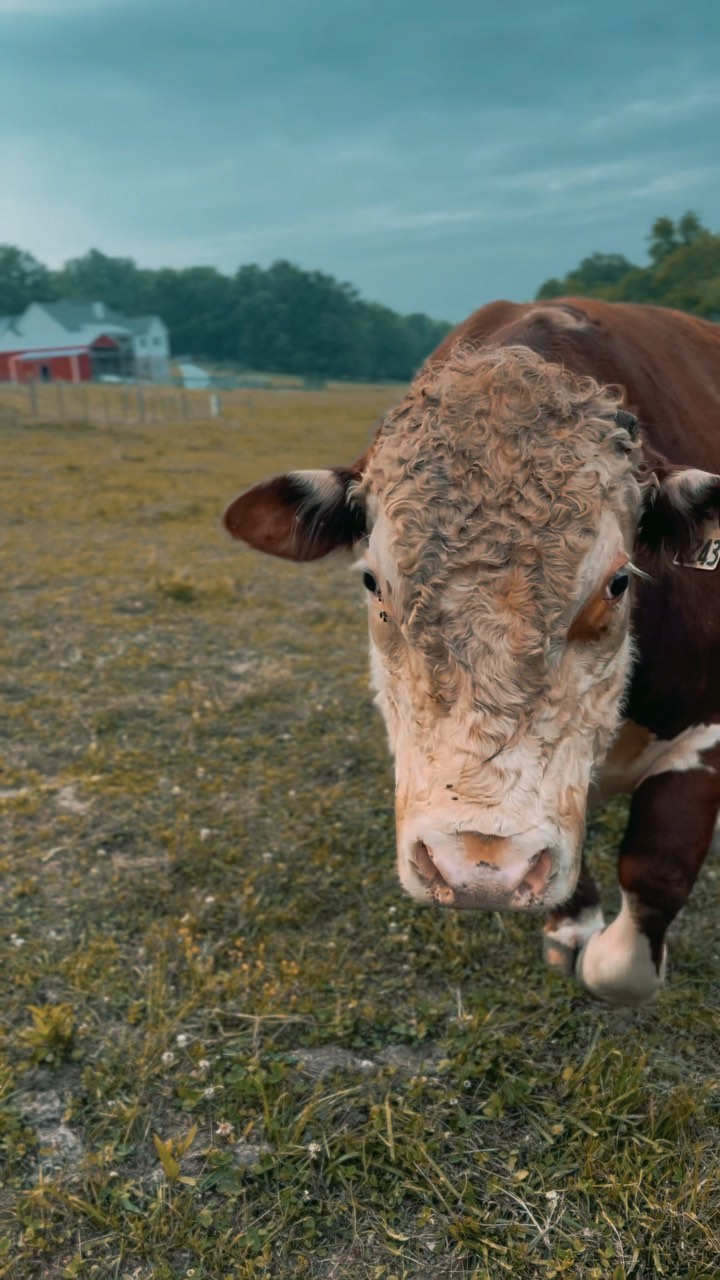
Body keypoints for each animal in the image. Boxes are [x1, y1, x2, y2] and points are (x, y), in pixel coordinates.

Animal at [224, 298, 720, 1006]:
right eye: (372, 582)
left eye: (618, 583)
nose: (480, 868)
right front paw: (572, 926)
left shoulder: (703, 737)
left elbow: (634, 926)